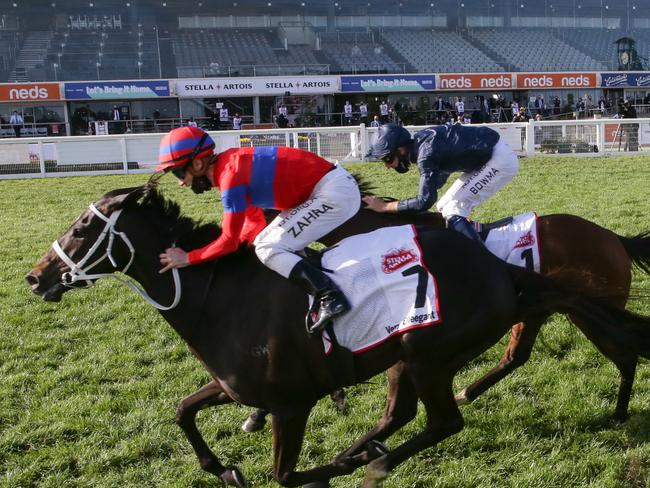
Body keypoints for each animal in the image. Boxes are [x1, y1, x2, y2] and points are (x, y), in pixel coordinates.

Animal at [26, 185, 650, 486]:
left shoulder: (292, 403)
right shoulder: (233, 387)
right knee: (409, 413)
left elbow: (285, 475)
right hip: (410, 353)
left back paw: (368, 461)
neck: (214, 296)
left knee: (444, 420)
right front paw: (224, 467)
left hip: (429, 355)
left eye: (84, 227)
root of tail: (502, 270)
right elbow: (183, 411)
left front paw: (324, 473)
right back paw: (365, 448)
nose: (36, 277)